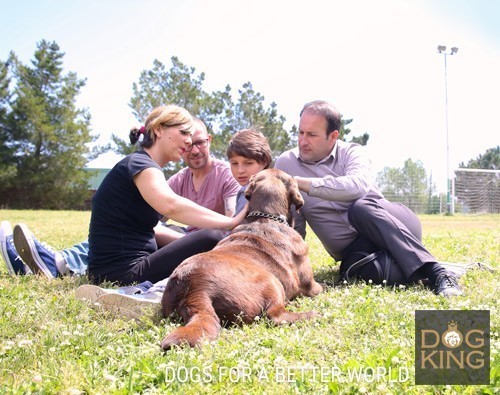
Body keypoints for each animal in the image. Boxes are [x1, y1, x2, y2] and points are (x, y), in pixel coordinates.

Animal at [161, 169, 324, 352]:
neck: (266, 217)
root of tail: (195, 289)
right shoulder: (310, 286)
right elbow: (321, 286)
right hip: (271, 281)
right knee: (275, 315)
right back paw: (311, 314)